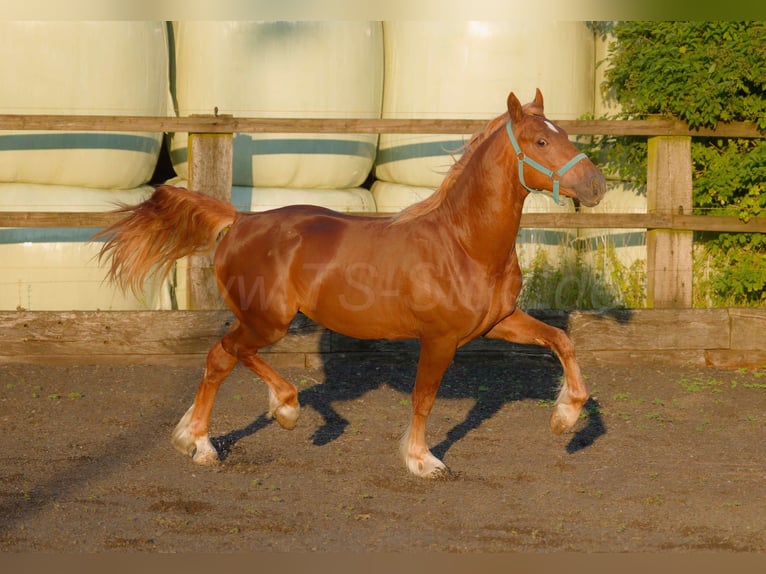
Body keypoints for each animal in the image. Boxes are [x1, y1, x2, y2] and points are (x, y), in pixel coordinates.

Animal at [96, 89, 606, 478]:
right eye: (541, 140)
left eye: (564, 135)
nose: (597, 186)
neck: (464, 243)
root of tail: (240, 220)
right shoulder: (439, 339)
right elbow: (423, 398)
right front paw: (422, 461)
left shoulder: (498, 322)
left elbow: (562, 341)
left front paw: (565, 420)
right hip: (268, 321)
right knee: (227, 354)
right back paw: (265, 417)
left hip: (263, 321)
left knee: (219, 360)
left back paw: (196, 437)